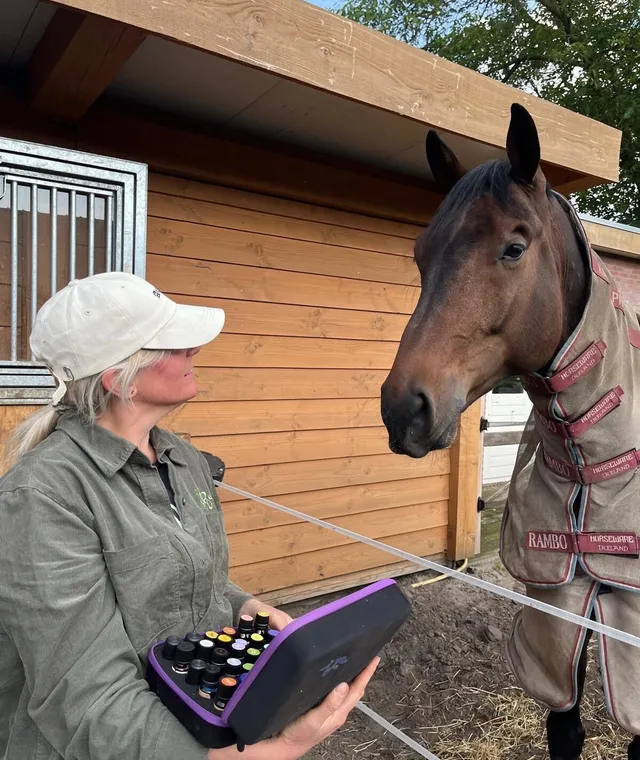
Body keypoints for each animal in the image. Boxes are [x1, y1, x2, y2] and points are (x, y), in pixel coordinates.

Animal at [381, 103, 640, 759]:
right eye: (420, 254)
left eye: (514, 248)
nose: (403, 408)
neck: (592, 461)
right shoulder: (557, 611)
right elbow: (565, 725)